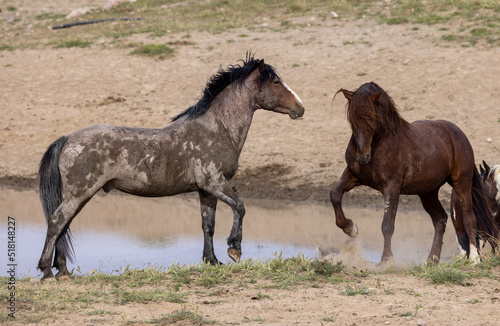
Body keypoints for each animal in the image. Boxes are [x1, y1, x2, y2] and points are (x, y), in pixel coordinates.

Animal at [36, 54, 304, 282]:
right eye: (276, 81)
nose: (300, 108)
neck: (217, 129)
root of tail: (67, 138)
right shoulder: (215, 183)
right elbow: (240, 207)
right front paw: (234, 250)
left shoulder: (206, 191)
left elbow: (208, 225)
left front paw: (212, 260)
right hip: (79, 194)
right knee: (57, 222)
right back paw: (47, 271)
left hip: (78, 197)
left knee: (63, 225)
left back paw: (63, 271)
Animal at [330, 81, 498, 264]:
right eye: (351, 119)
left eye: (372, 119)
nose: (362, 157)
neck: (380, 144)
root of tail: (459, 135)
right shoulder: (353, 175)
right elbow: (335, 195)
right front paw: (350, 228)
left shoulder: (392, 187)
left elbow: (387, 225)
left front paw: (386, 260)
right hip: (428, 192)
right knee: (440, 219)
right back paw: (431, 261)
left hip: (461, 182)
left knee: (468, 217)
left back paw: (474, 259)